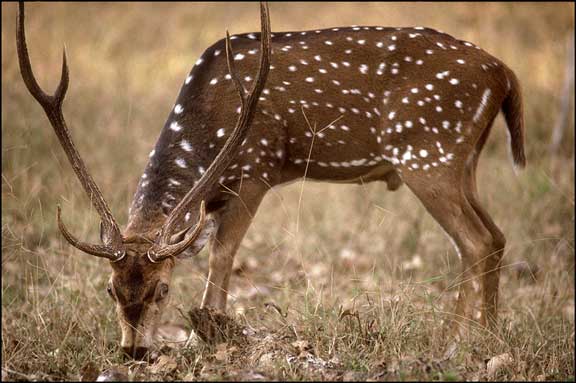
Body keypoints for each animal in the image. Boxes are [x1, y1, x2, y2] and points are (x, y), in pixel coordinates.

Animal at [18, 1, 524, 358]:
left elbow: (222, 253)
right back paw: (488, 338)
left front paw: (210, 334)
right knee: (497, 235)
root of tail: (505, 73)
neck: (209, 125)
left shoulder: (256, 170)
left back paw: (454, 342)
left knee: (475, 241)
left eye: (163, 288)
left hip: (428, 154)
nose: (135, 351)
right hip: (462, 161)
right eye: (110, 288)